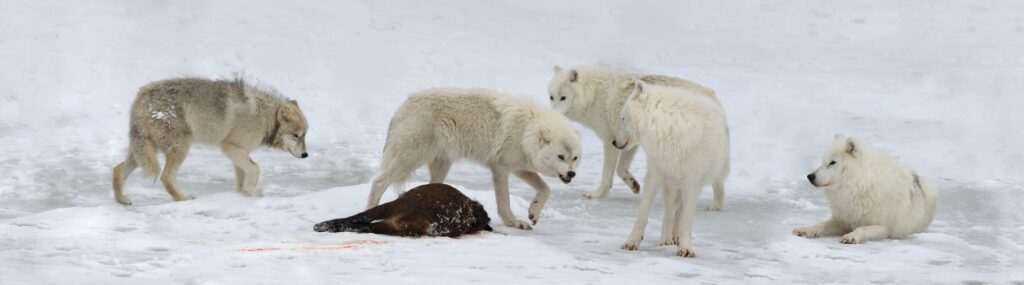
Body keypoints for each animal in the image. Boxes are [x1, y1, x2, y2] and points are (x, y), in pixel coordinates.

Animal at [110, 76, 307, 205]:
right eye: (296, 135)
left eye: (305, 134)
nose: (306, 155)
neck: (267, 117)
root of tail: (141, 97)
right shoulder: (229, 147)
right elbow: (256, 169)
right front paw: (249, 191)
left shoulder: (239, 152)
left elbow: (242, 177)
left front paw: (242, 196)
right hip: (180, 148)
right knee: (166, 177)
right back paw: (183, 200)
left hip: (143, 152)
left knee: (117, 170)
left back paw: (122, 200)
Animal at [364, 88, 581, 230]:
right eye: (560, 156)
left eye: (575, 158)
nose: (571, 174)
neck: (527, 130)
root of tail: (402, 107)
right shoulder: (501, 168)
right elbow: (504, 201)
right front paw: (513, 222)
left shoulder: (519, 167)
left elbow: (546, 189)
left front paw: (533, 212)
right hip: (411, 159)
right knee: (378, 182)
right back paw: (370, 209)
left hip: (441, 164)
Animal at [552, 65, 729, 211]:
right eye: (551, 97)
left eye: (563, 98)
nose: (553, 115)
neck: (594, 95)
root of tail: (712, 95)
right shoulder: (628, 142)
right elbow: (621, 169)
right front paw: (634, 185)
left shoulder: (610, 141)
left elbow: (607, 174)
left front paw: (597, 194)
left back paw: (715, 205)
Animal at [606, 81, 729, 257]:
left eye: (623, 119)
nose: (614, 142)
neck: (668, 127)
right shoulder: (654, 176)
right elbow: (643, 215)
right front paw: (632, 241)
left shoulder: (692, 184)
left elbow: (686, 219)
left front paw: (685, 247)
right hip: (670, 184)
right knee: (669, 211)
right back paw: (666, 238)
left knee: (679, 213)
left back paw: (676, 237)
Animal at [794, 134, 937, 243]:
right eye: (823, 162)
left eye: (832, 163)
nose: (810, 176)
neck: (859, 186)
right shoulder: (842, 220)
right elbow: (821, 224)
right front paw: (807, 230)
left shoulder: (882, 227)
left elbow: (861, 229)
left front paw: (851, 236)